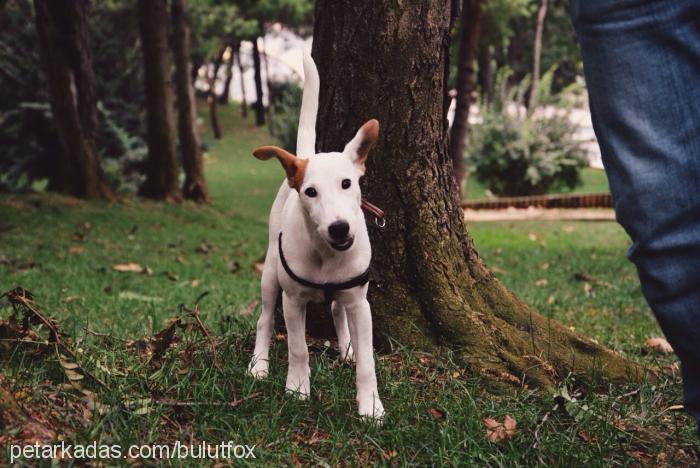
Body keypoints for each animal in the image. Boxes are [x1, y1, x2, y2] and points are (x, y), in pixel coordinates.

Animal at [249, 52, 386, 420]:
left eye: (347, 183)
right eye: (310, 192)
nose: (340, 227)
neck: (325, 254)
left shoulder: (361, 303)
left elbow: (368, 361)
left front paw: (370, 405)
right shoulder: (293, 301)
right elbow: (298, 349)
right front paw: (297, 388)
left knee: (338, 311)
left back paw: (347, 347)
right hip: (270, 275)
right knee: (264, 319)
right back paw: (259, 364)